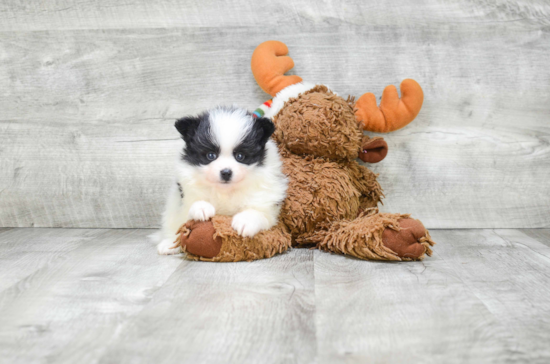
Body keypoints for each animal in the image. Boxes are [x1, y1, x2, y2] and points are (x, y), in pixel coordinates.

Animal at [155, 105, 288, 255]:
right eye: (210, 155)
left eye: (240, 156)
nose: (226, 172)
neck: (226, 191)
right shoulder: (185, 194)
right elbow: (191, 206)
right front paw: (201, 207)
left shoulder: (266, 201)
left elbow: (259, 212)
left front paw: (245, 221)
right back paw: (168, 243)